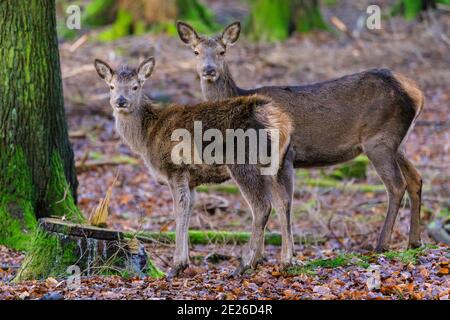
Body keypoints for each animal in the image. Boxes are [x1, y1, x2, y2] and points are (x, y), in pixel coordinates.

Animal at [177, 21, 426, 252]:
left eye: (222, 51)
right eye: (196, 51)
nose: (209, 70)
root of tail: (418, 93)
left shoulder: (282, 156)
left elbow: (279, 204)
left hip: (379, 139)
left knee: (397, 185)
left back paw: (382, 244)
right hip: (399, 143)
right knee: (416, 178)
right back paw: (414, 242)